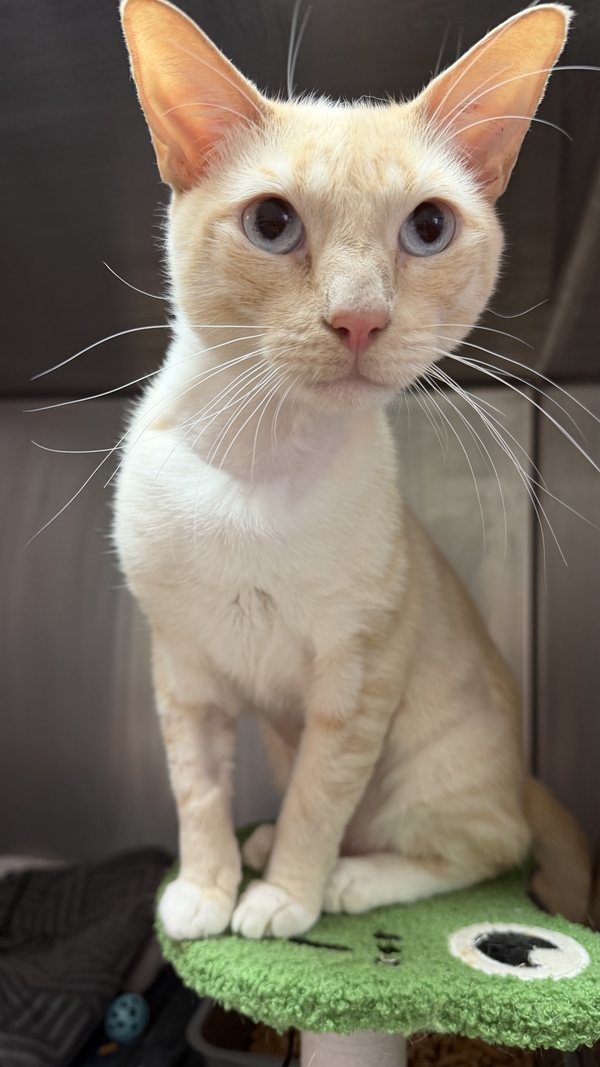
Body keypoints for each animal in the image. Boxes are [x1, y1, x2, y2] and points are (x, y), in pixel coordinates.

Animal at [115, 0, 591, 941]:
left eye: (428, 228)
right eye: (271, 224)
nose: (360, 319)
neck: (261, 458)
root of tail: (526, 769)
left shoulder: (358, 678)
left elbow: (317, 799)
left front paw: (282, 899)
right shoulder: (183, 670)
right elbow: (198, 791)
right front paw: (207, 889)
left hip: (428, 764)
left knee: (486, 845)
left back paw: (349, 881)